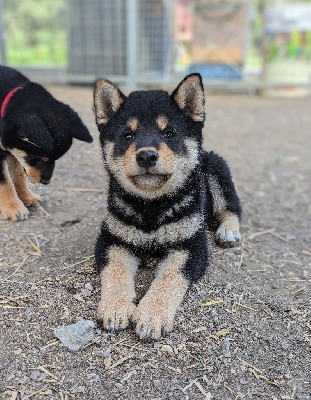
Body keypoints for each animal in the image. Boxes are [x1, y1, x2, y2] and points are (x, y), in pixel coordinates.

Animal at [0, 66, 92, 222]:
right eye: (41, 159)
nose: (46, 182)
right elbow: (5, 181)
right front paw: (13, 207)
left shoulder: (13, 151)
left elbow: (18, 175)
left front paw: (26, 197)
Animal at [92, 73, 241, 340]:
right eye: (127, 136)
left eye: (169, 133)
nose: (146, 156)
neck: (151, 207)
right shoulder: (112, 239)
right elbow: (116, 271)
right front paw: (116, 307)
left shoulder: (190, 245)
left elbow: (169, 279)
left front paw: (152, 314)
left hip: (216, 167)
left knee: (231, 208)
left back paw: (228, 231)